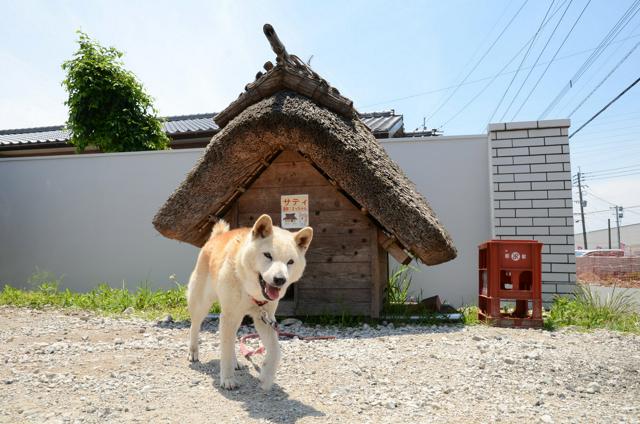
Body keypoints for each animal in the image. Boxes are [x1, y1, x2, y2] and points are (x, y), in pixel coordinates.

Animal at [188, 214, 312, 390]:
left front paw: (266, 377)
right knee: (195, 326)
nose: (280, 279)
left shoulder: (265, 318)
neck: (250, 291)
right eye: (268, 255)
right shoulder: (229, 316)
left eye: (290, 262)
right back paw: (193, 352)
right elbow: (225, 350)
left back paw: (235, 362)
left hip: (237, 317)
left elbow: (275, 351)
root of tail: (216, 237)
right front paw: (227, 379)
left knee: (230, 338)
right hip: (202, 304)